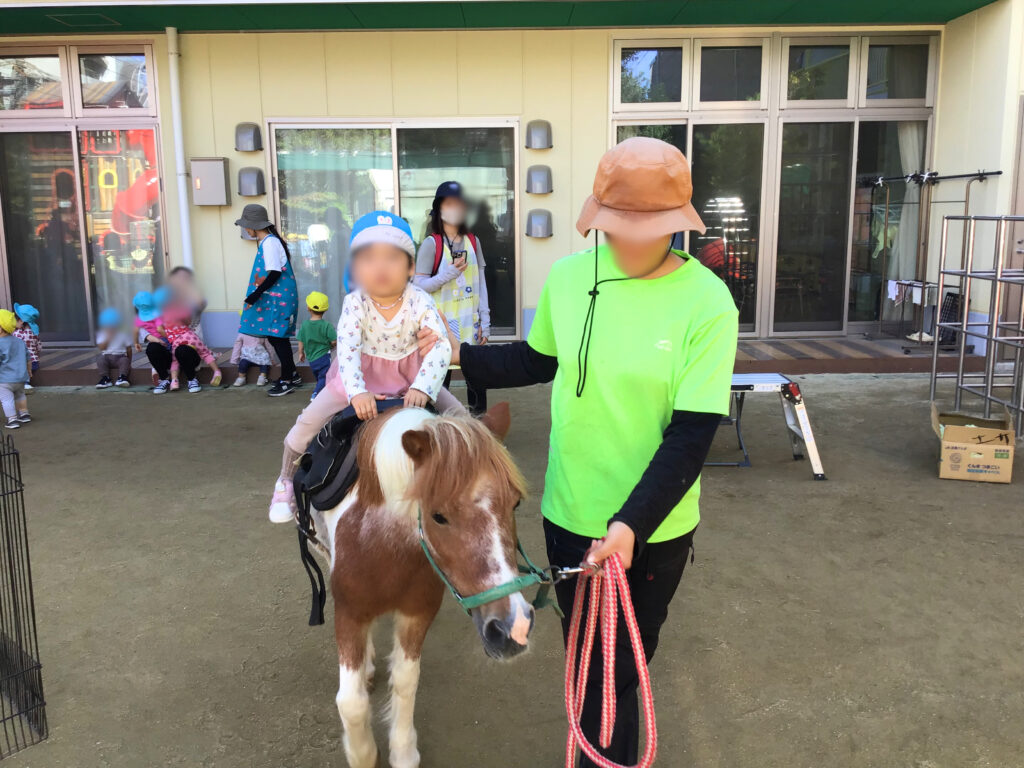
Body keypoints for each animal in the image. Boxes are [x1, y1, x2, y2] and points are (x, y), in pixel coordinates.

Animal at [315, 403, 532, 768]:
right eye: (438, 516)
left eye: (514, 502)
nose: (511, 628)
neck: (381, 544)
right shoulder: (349, 614)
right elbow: (351, 702)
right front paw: (364, 754)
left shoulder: (416, 614)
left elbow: (405, 682)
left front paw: (403, 752)